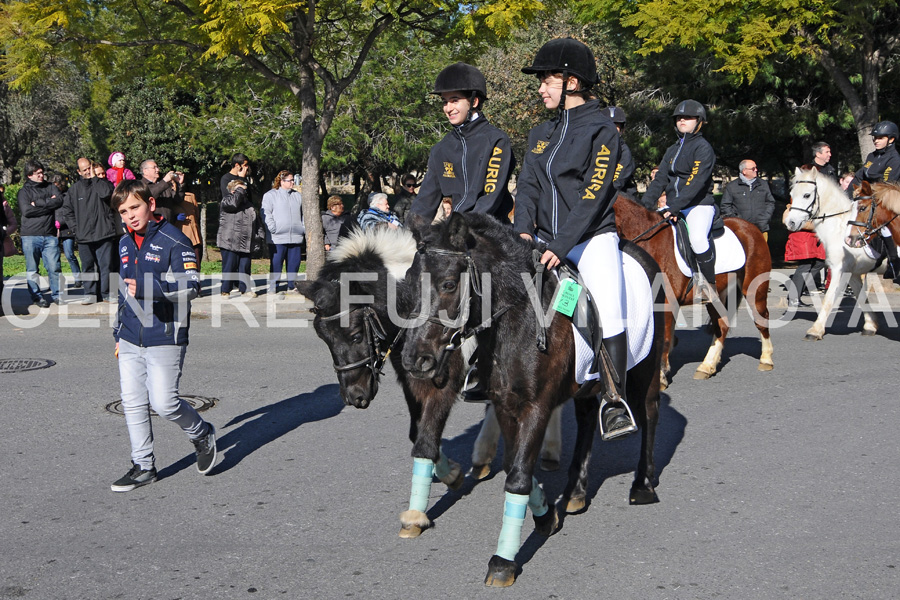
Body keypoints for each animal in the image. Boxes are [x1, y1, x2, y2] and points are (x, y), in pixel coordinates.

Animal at [404, 213, 664, 588]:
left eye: (450, 284)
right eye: (409, 282)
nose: (414, 360)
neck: (517, 318)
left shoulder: (536, 407)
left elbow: (517, 476)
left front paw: (503, 561)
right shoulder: (503, 403)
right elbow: (513, 463)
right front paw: (544, 515)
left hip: (647, 367)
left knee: (650, 413)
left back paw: (642, 484)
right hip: (586, 384)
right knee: (587, 418)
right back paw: (576, 492)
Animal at [616, 195, 776, 386]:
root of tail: (751, 227)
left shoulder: (666, 303)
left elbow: (665, 338)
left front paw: (661, 377)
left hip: (754, 289)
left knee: (761, 319)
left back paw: (766, 359)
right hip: (716, 296)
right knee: (721, 326)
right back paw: (706, 366)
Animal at [788, 166, 880, 340]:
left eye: (806, 195)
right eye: (791, 194)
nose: (790, 222)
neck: (840, 227)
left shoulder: (839, 269)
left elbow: (829, 299)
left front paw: (815, 330)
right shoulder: (853, 273)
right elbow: (861, 298)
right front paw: (870, 326)